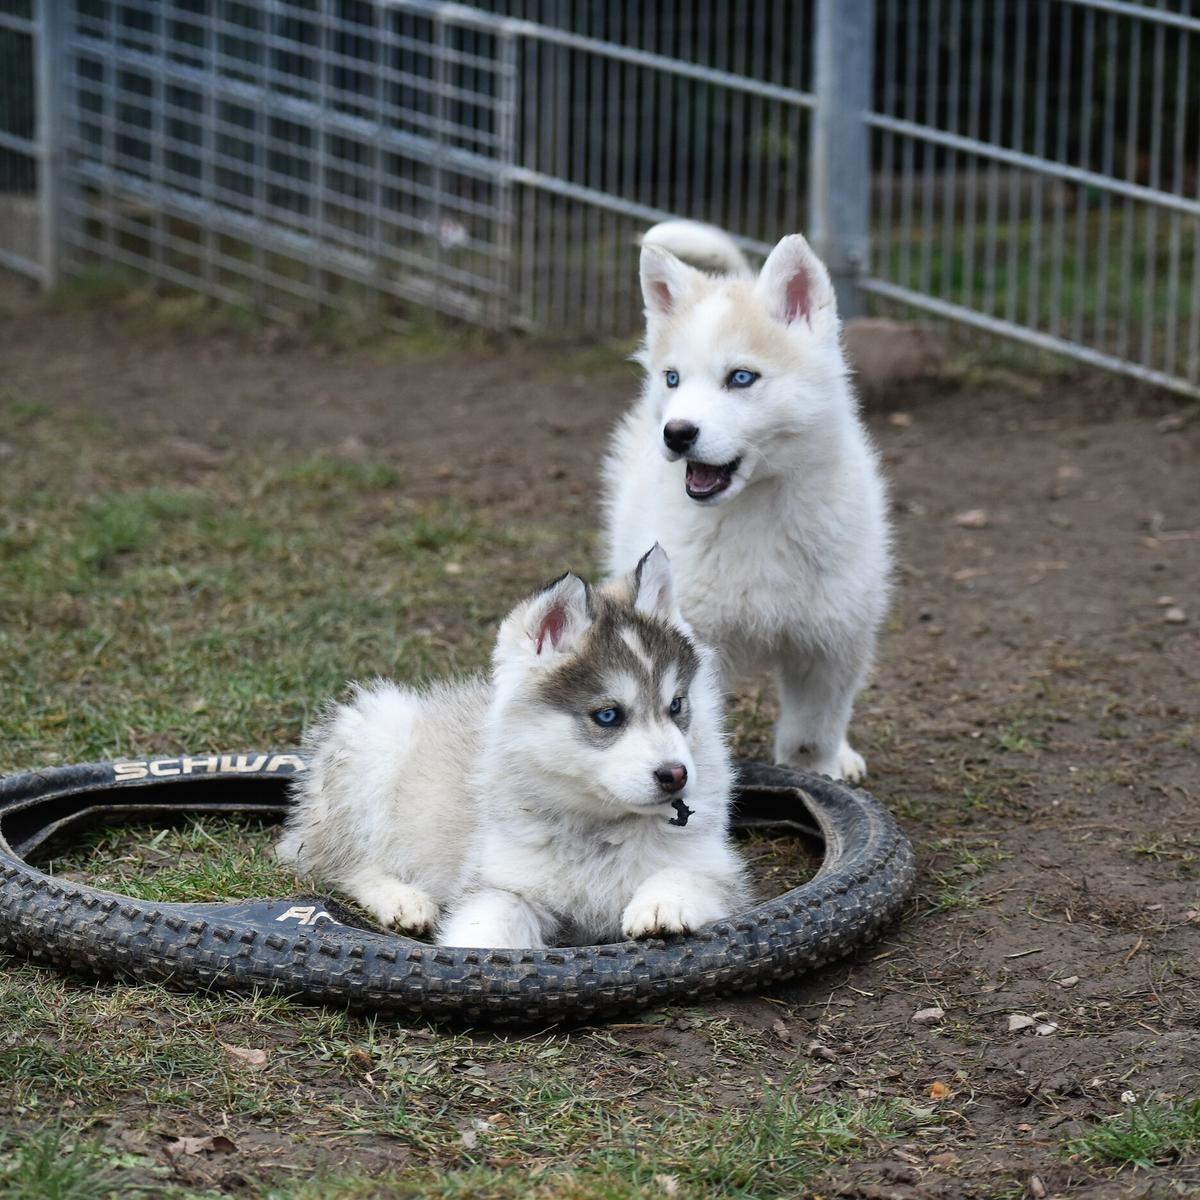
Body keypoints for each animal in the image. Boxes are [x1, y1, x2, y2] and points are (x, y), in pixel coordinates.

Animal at [280, 549, 748, 950]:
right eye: (608, 715)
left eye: (677, 705)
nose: (676, 775)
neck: (598, 827)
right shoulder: (501, 885)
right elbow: (485, 926)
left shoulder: (717, 867)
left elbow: (690, 876)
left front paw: (662, 903)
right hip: (375, 743)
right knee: (342, 864)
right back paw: (402, 899)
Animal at [600, 220, 892, 782]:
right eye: (673, 378)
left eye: (741, 378)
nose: (677, 433)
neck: (757, 511)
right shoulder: (696, 641)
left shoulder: (831, 642)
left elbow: (812, 732)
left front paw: (816, 772)